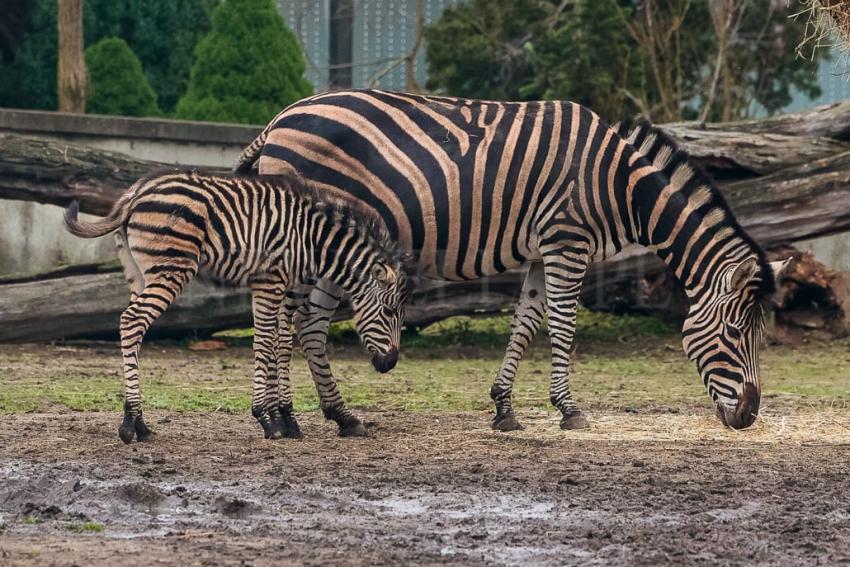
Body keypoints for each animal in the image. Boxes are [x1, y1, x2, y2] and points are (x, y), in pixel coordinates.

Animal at [65, 171, 410, 446]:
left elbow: (282, 345)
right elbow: (265, 342)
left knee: (133, 329)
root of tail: (137, 190)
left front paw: (286, 419)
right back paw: (129, 423)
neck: (313, 240)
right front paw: (268, 420)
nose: (390, 363)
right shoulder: (270, 280)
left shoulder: (287, 288)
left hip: (138, 272)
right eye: (389, 312)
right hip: (171, 268)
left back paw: (139, 424)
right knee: (132, 321)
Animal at [235, 91, 784, 432]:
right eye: (735, 333)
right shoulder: (568, 241)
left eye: (761, 335)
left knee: (308, 324)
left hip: (335, 243)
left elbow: (525, 322)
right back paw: (278, 418)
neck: (620, 187)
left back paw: (340, 416)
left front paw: (503, 408)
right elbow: (562, 325)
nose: (749, 417)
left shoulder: (545, 251)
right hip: (304, 232)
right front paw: (569, 410)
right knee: (277, 320)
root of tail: (280, 118)